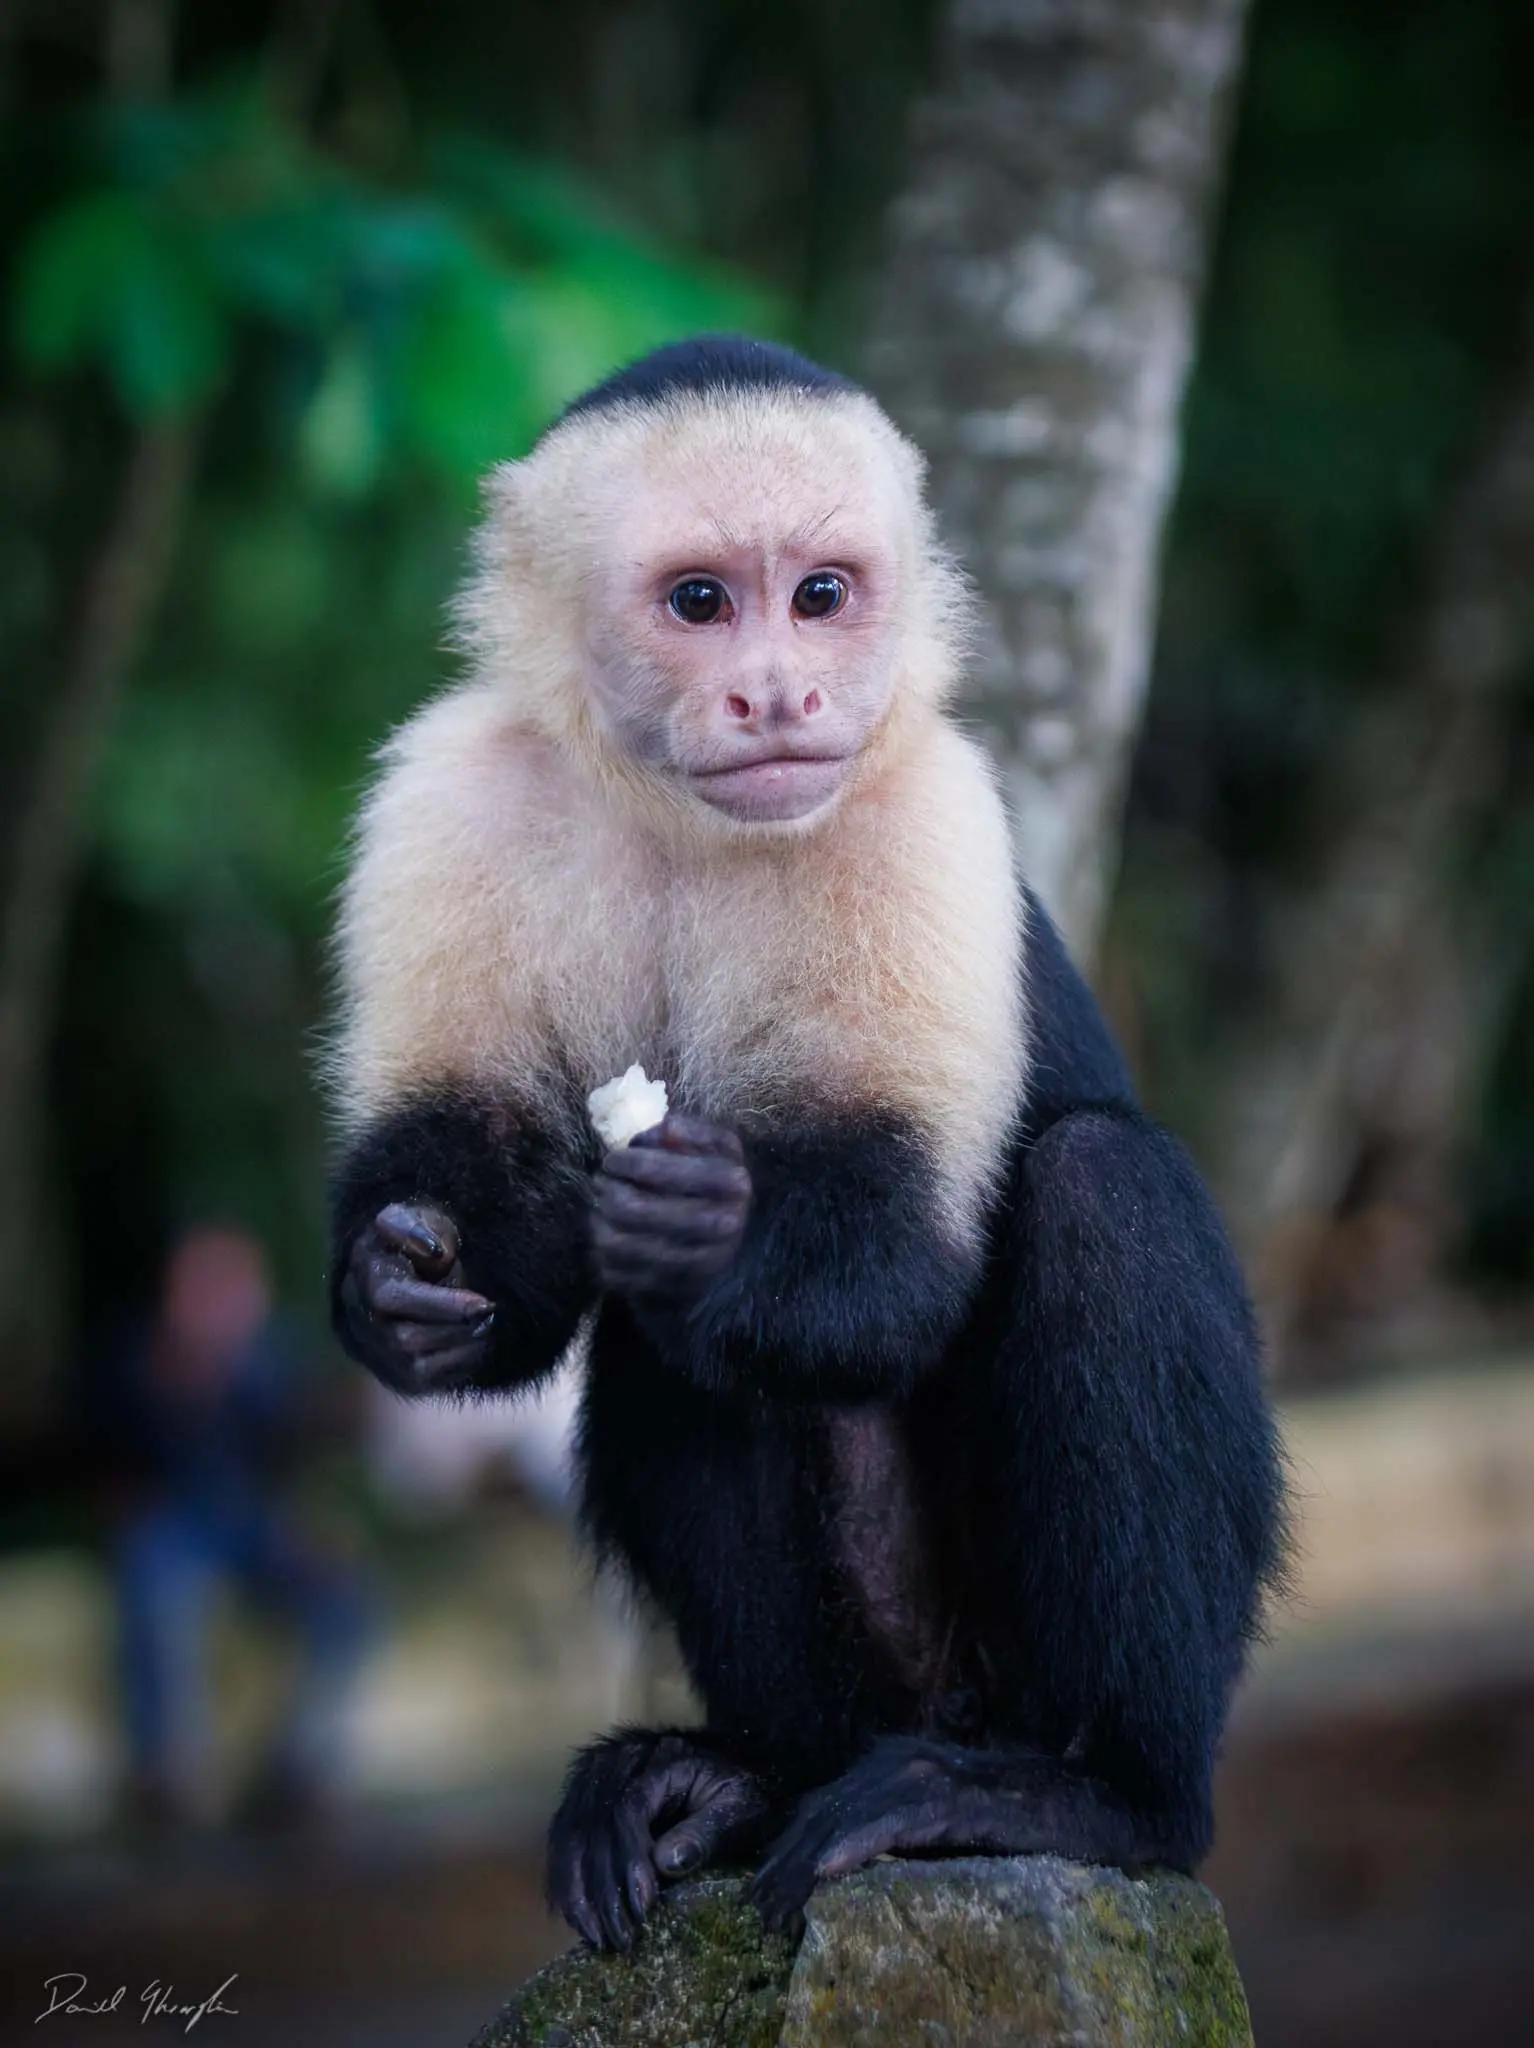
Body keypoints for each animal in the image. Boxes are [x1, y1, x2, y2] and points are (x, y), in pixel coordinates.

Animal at [326, 333, 1287, 1951]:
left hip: (997, 1665)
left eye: (821, 594)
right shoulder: (448, 795)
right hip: (870, 1675)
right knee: (665, 1356)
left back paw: (1091, 1794)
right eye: (701, 602)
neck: (678, 817)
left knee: (1102, 1190)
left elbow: (895, 1263)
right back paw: (741, 1777)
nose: (779, 692)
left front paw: (718, 1227)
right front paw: (402, 1284)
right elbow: (504, 1239)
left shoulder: (922, 814)